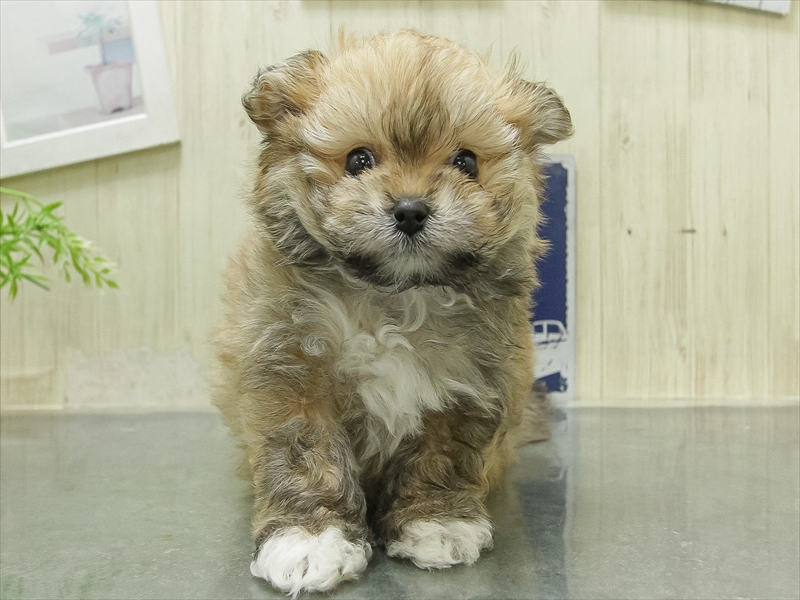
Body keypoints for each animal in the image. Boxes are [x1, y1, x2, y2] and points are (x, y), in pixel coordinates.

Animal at [211, 30, 572, 596]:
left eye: (466, 162)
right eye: (359, 160)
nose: (410, 210)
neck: (394, 295)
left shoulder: (467, 381)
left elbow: (443, 454)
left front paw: (437, 522)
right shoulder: (291, 371)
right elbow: (305, 457)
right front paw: (309, 538)